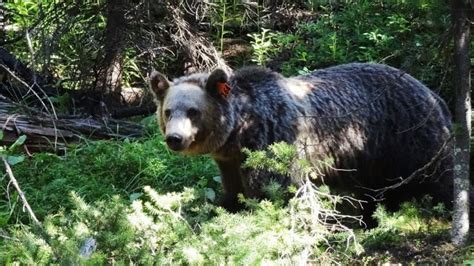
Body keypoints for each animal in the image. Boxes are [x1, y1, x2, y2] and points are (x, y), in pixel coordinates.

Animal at [150, 63, 454, 223]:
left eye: (193, 111)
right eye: (169, 111)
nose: (174, 138)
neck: (239, 131)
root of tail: (432, 94)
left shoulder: (273, 141)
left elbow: (273, 190)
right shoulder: (230, 161)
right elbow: (233, 191)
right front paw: (226, 208)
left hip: (407, 140)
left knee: (439, 175)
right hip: (371, 160)